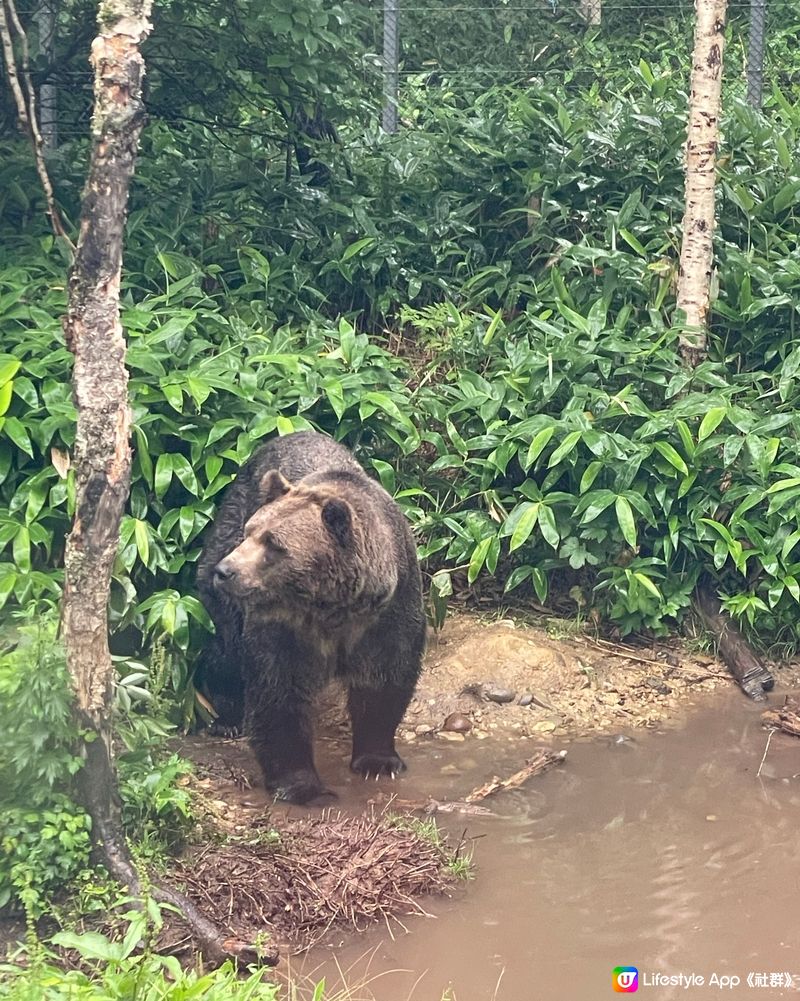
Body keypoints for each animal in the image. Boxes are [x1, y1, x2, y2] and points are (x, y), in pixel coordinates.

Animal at [195, 432, 424, 804]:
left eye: (273, 544)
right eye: (250, 532)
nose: (226, 571)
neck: (331, 606)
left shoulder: (386, 612)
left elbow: (384, 678)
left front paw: (378, 761)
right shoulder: (285, 622)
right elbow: (279, 689)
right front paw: (302, 784)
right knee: (226, 651)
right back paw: (226, 717)